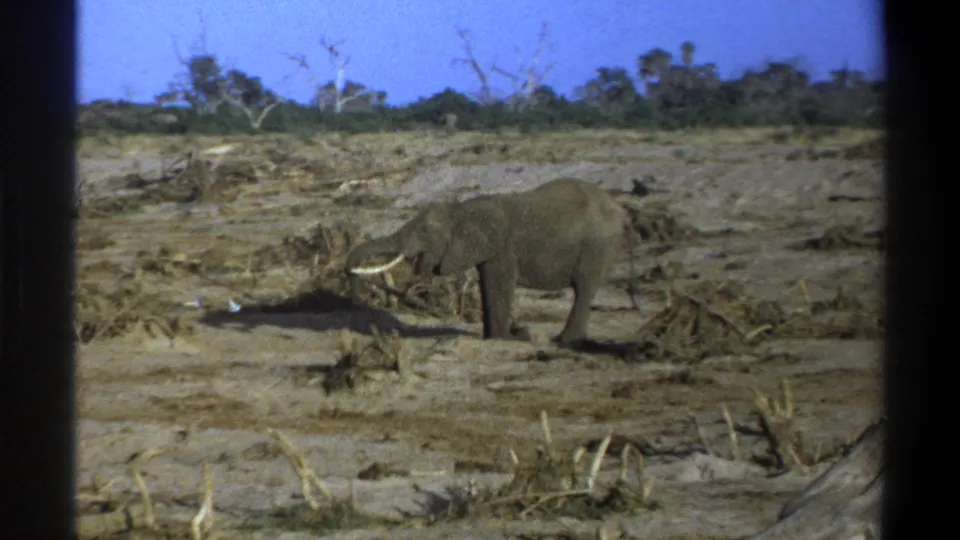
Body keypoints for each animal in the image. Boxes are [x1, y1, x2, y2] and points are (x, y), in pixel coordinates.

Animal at [344, 178, 638, 346]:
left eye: (426, 231)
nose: (358, 299)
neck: (462, 209)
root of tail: (622, 211)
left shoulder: (503, 248)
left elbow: (499, 286)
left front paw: (509, 338)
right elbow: (488, 285)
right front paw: (497, 337)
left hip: (598, 246)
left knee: (584, 289)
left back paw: (564, 341)